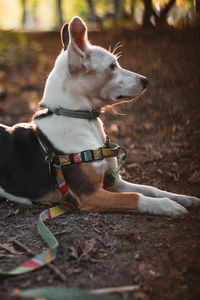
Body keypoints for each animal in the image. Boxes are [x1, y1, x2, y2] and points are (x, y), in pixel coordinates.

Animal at [0, 16, 199, 216]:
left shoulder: (114, 182)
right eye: (112, 66)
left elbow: (150, 189)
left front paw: (183, 197)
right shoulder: (90, 194)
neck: (79, 118)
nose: (146, 80)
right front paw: (167, 205)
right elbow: (135, 197)